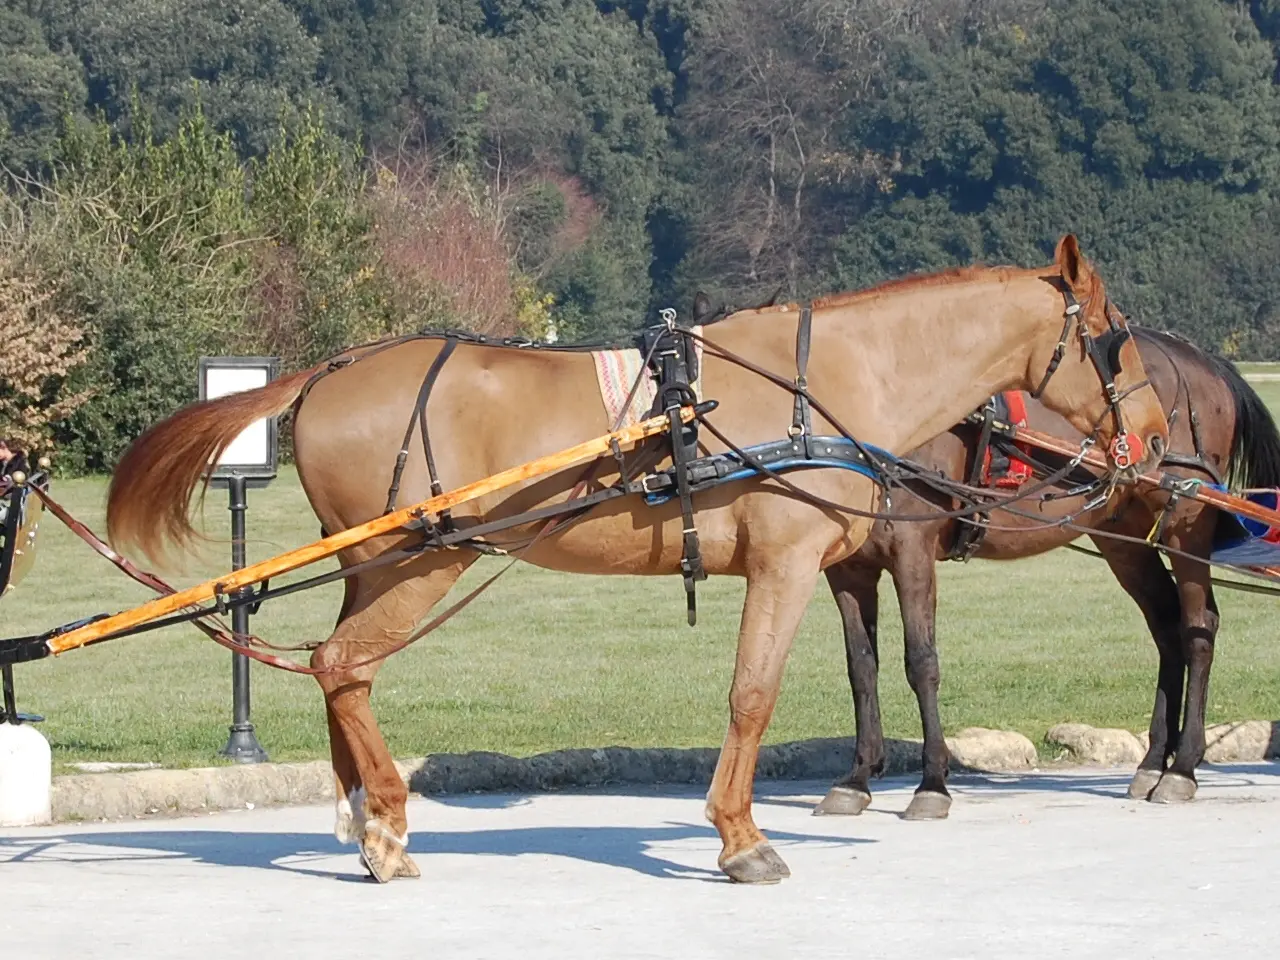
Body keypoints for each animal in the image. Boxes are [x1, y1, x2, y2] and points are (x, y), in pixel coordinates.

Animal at [107, 236, 1172, 885]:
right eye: (1113, 341)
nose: (1160, 436)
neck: (824, 384)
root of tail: (331, 368)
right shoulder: (786, 566)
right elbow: (753, 695)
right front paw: (741, 837)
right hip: (420, 562)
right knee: (342, 665)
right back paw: (386, 823)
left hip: (383, 565)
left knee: (342, 671)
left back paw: (366, 821)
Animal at [814, 330, 1280, 819]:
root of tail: (1200, 358)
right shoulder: (848, 570)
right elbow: (861, 667)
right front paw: (857, 778)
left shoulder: (913, 551)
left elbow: (921, 662)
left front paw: (933, 784)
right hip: (1124, 537)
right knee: (1167, 626)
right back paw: (1154, 762)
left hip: (1185, 522)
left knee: (1198, 627)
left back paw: (1183, 766)